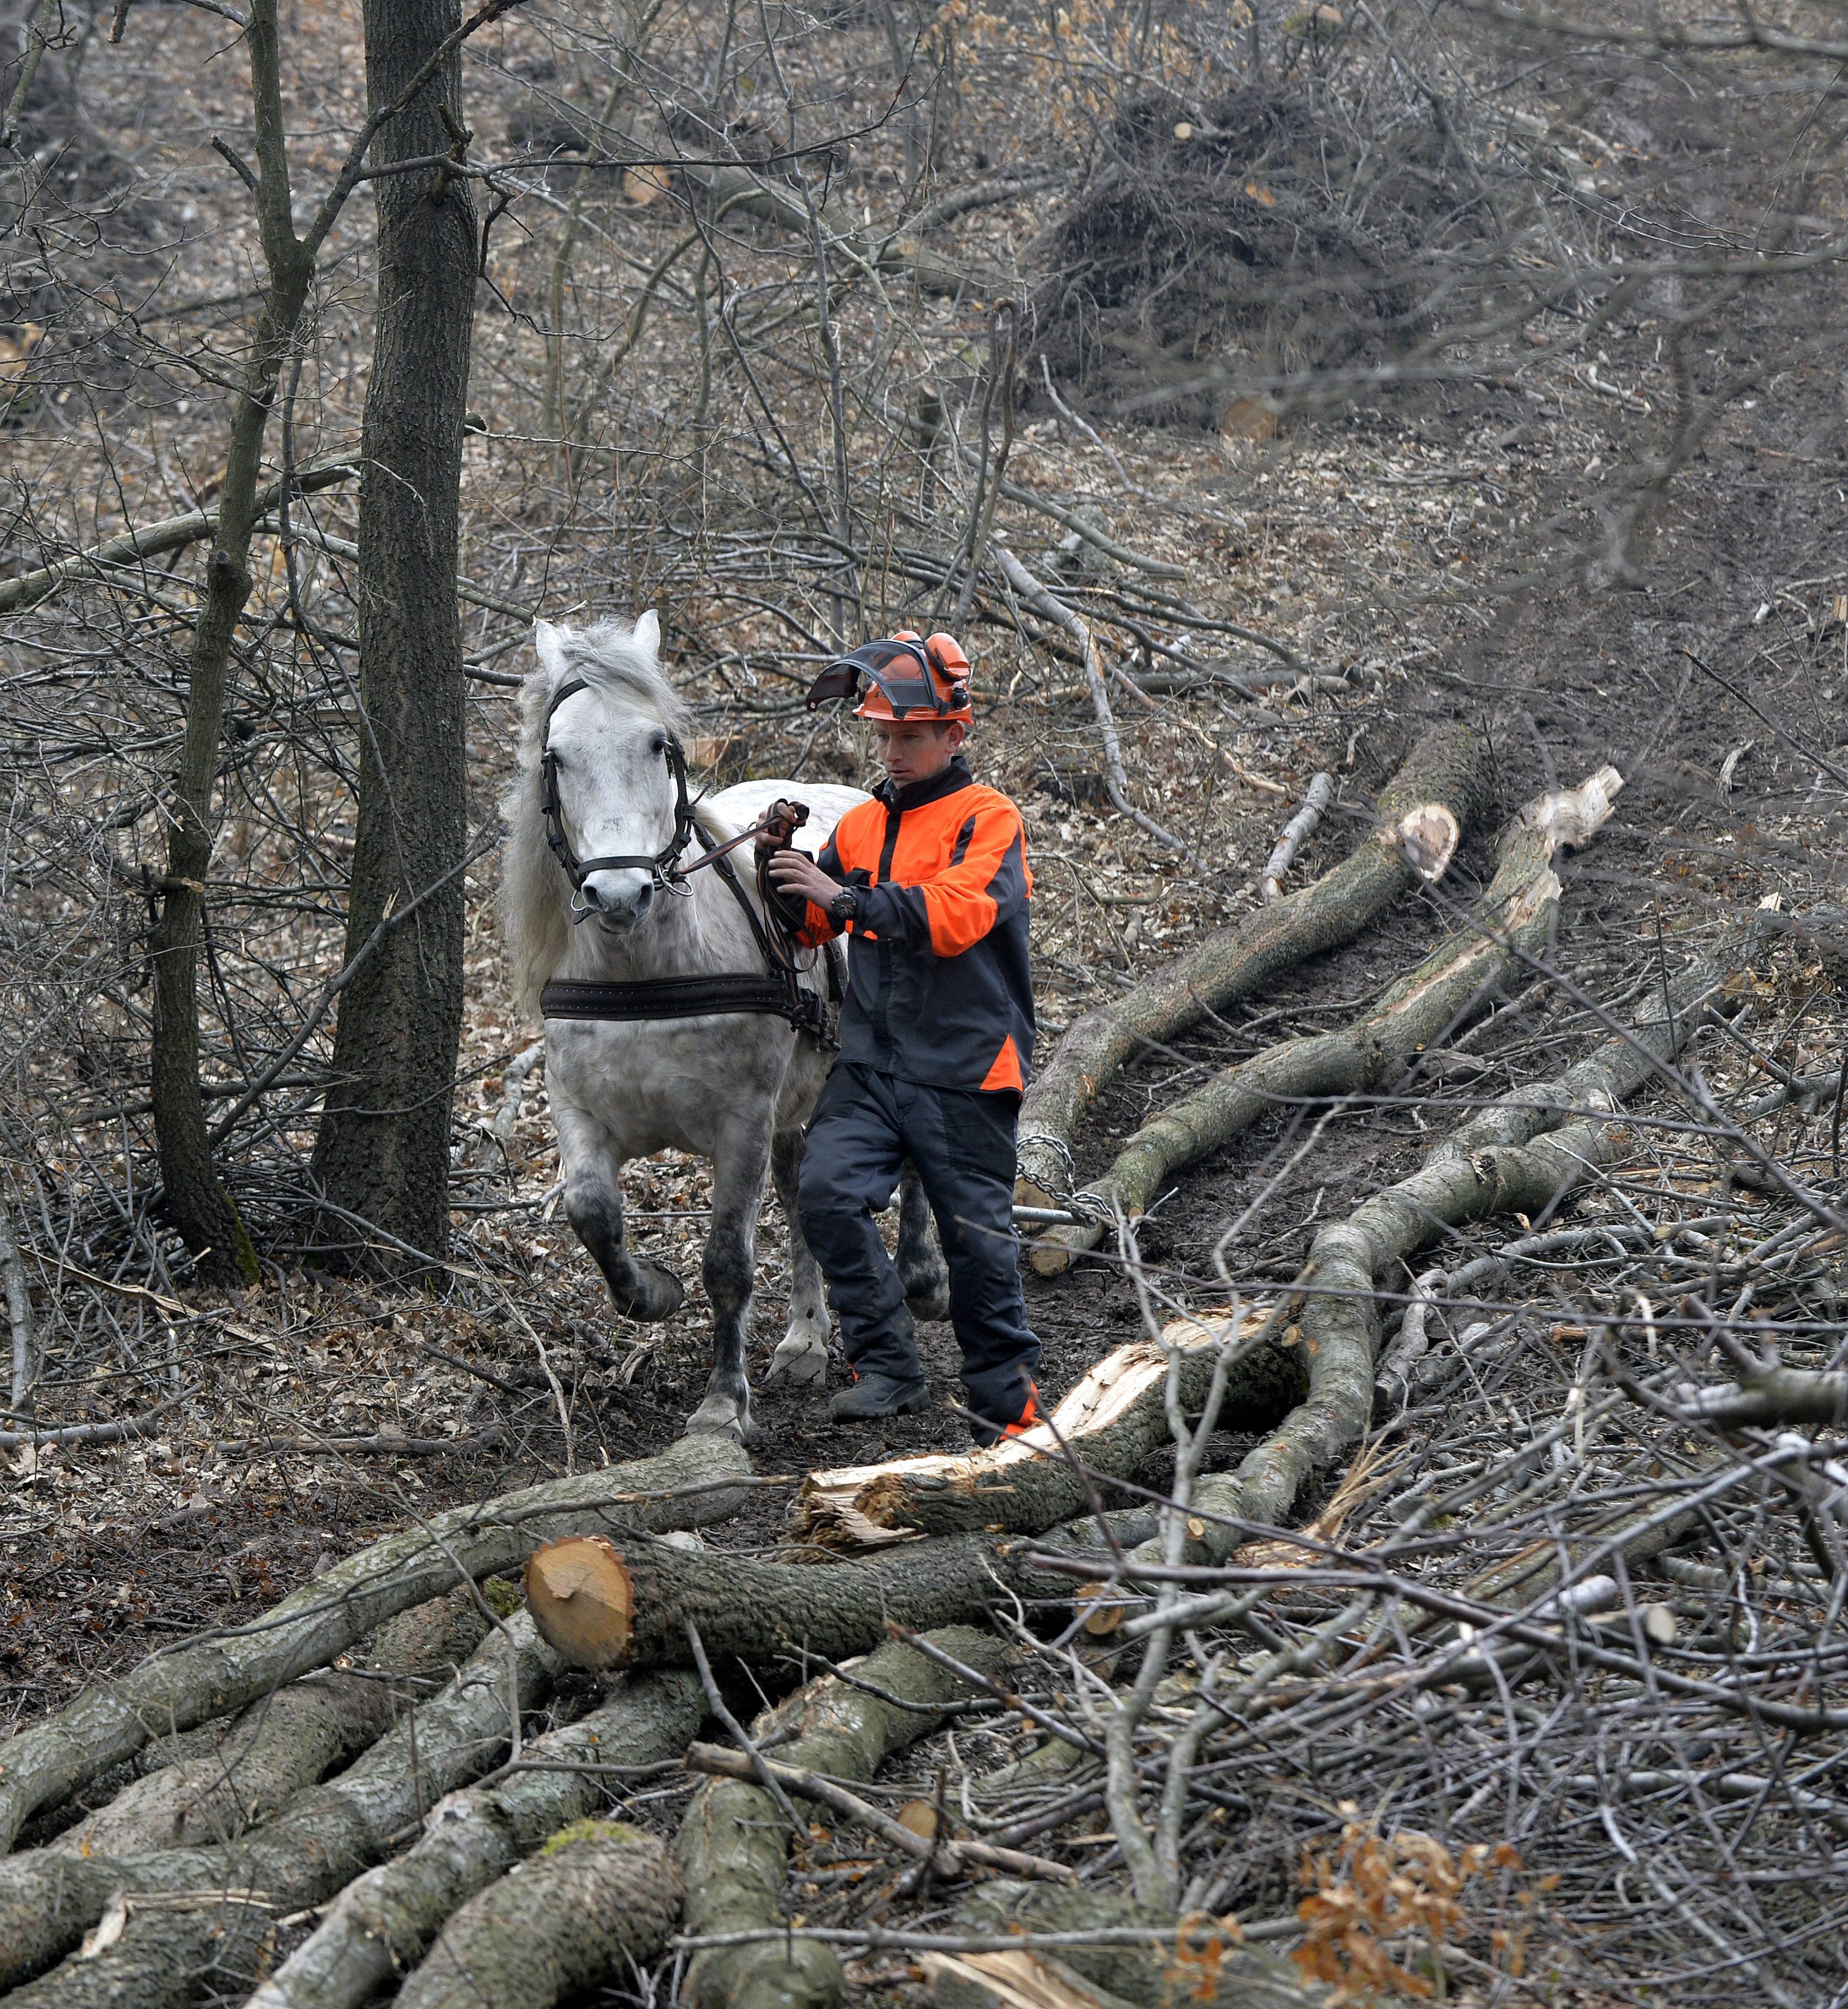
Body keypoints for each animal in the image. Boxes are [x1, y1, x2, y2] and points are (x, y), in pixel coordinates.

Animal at [498, 614, 944, 1446]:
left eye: (657, 745)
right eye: (556, 756)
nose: (618, 893)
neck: (646, 976)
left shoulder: (740, 1122)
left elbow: (727, 1263)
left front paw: (720, 1404)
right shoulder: (579, 1112)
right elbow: (592, 1214)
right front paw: (652, 1292)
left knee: (911, 1151)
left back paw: (923, 1276)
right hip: (800, 1103)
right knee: (802, 1194)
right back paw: (805, 1336)